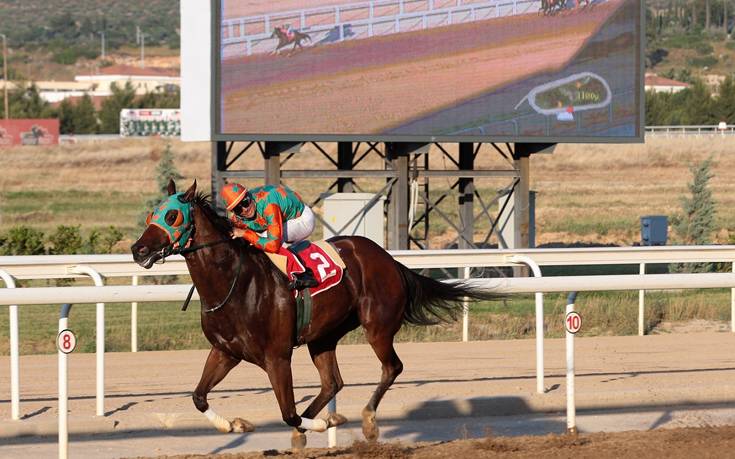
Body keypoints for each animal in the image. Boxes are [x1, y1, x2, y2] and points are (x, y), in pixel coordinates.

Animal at [131, 180, 500, 450]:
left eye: (173, 216)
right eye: (151, 214)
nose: (138, 250)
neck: (233, 284)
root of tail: (389, 259)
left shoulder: (277, 357)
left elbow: (288, 412)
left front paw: (321, 423)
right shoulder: (225, 351)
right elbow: (198, 397)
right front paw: (235, 424)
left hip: (376, 326)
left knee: (391, 367)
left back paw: (367, 422)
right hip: (322, 337)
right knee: (332, 382)